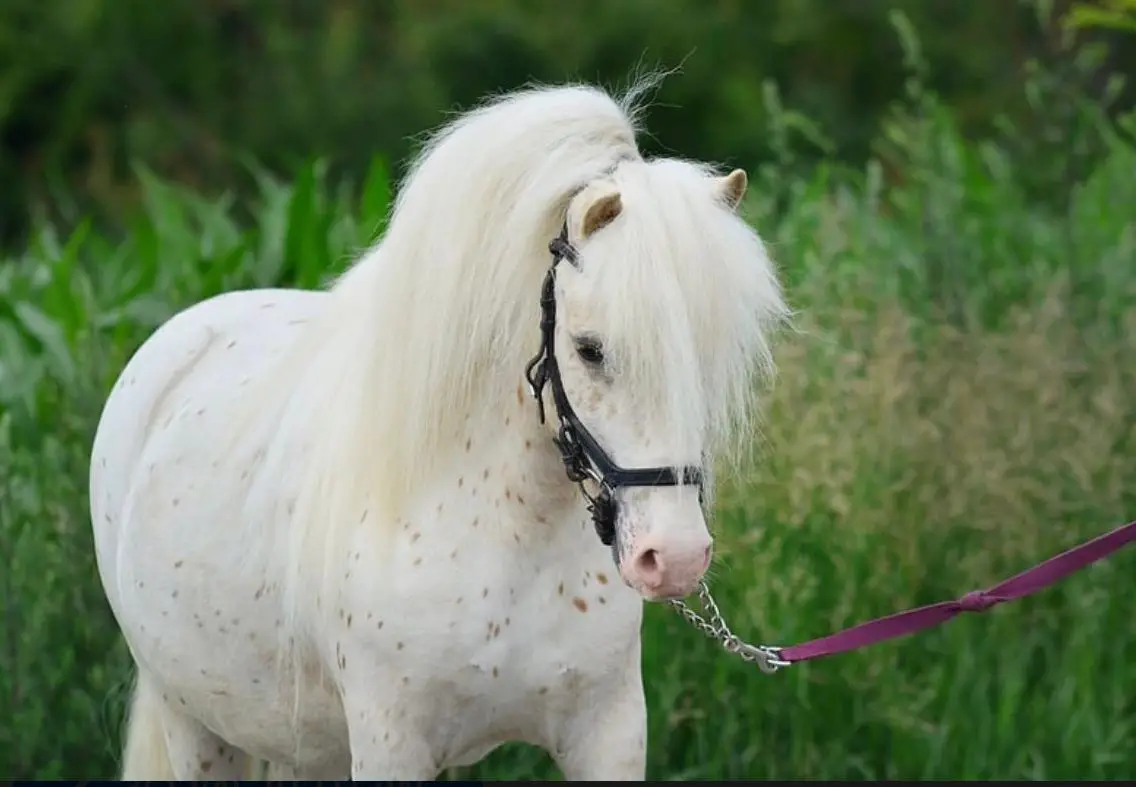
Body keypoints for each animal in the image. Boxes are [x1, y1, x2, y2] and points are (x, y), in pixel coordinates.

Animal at [88, 78, 789, 781]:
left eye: (708, 354)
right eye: (590, 350)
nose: (675, 558)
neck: (510, 542)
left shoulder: (608, 732)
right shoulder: (389, 742)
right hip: (194, 722)